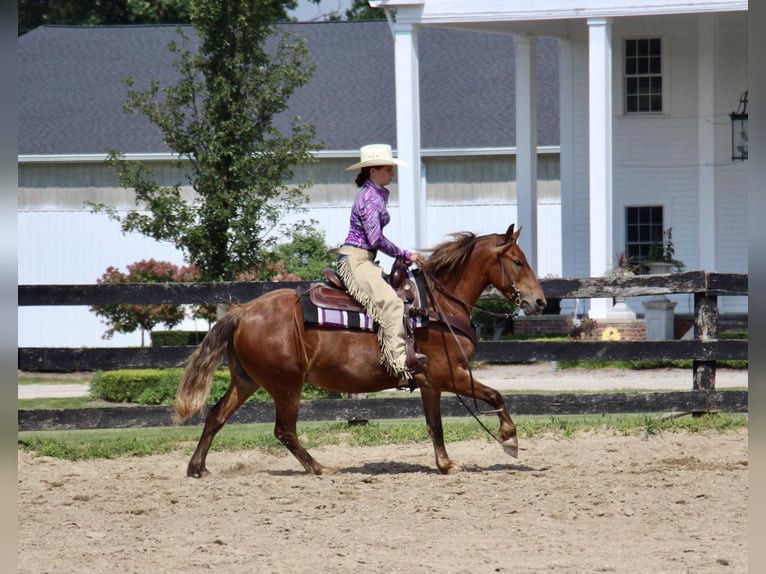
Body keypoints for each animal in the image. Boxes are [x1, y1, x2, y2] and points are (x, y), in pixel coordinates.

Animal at [176, 225, 544, 476]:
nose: (539, 301)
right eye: (517, 261)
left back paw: (198, 467)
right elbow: (495, 395)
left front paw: (446, 464)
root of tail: (243, 311)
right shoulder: (450, 374)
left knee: (216, 415)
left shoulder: (431, 383)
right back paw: (319, 468)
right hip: (286, 384)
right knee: (284, 430)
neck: (437, 305)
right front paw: (509, 440)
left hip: (247, 380)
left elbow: (435, 425)